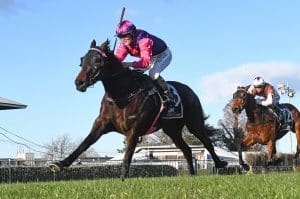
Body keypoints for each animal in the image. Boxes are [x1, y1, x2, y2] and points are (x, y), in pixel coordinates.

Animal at [49, 39, 227, 179]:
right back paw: (191, 174)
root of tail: (190, 91)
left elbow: (128, 155)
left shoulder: (134, 129)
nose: (79, 83)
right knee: (187, 150)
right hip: (172, 130)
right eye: (82, 59)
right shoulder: (101, 124)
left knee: (207, 142)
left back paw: (220, 164)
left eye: (98, 60)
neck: (122, 94)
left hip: (194, 123)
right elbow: (84, 144)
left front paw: (122, 179)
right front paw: (60, 163)